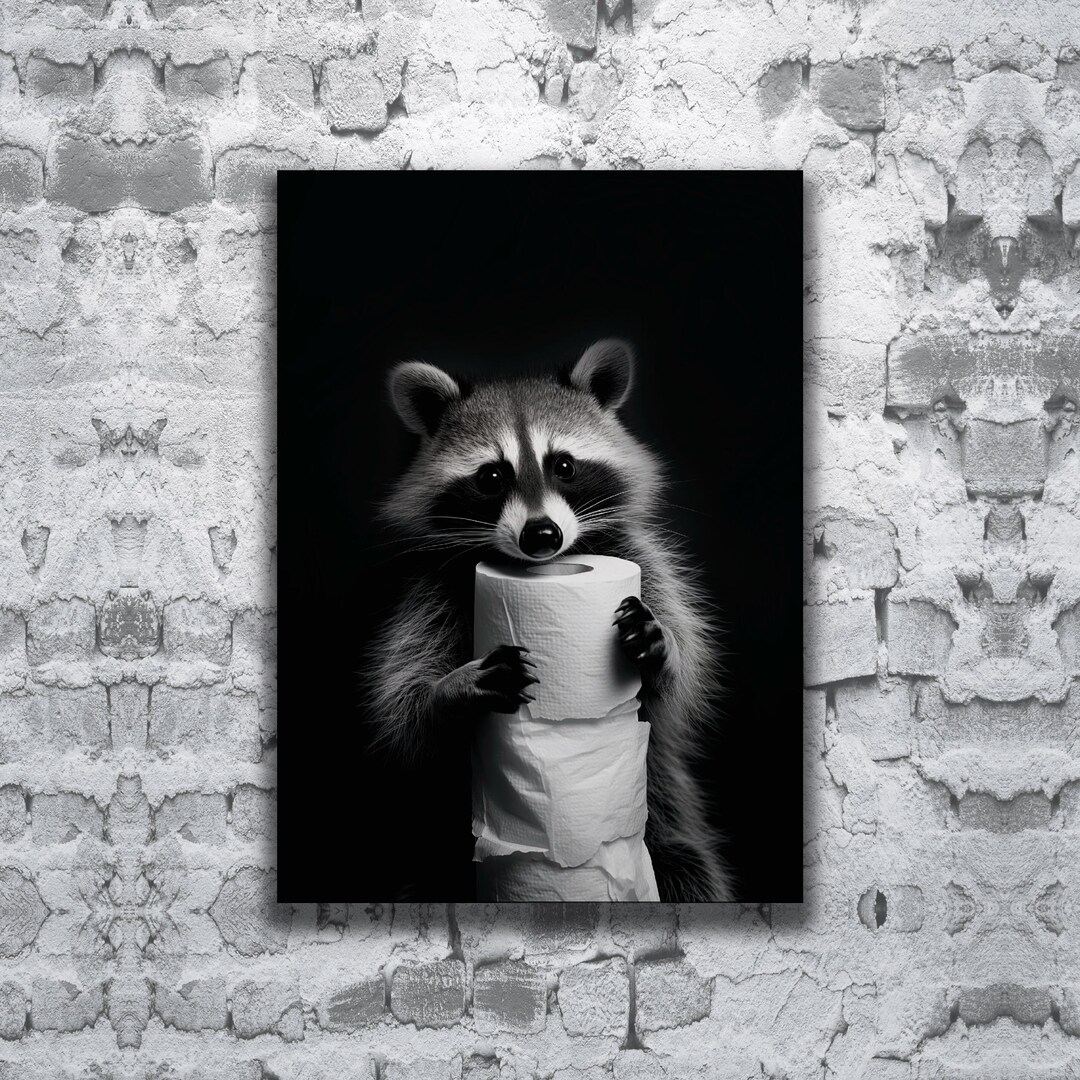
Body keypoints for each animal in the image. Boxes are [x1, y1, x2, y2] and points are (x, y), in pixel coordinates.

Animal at [368, 339, 731, 902]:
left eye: (564, 465)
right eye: (491, 476)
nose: (542, 536)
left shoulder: (641, 560)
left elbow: (676, 686)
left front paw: (663, 648)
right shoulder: (431, 591)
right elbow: (408, 711)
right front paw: (450, 691)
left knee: (689, 869)